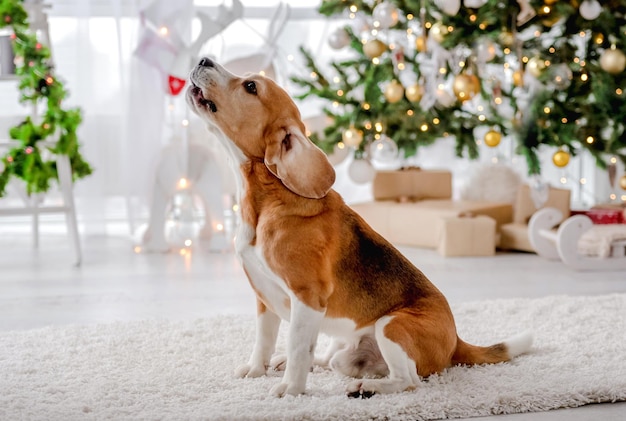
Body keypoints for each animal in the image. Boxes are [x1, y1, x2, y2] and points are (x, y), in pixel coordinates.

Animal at [186, 56, 532, 398]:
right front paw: (257, 370)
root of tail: (456, 341)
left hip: (391, 325)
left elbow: (298, 346)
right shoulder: (263, 296)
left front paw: (291, 389)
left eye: (250, 86)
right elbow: (264, 340)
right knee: (329, 359)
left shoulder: (307, 297)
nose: (203, 59)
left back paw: (367, 387)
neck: (266, 199)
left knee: (409, 380)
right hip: (343, 347)